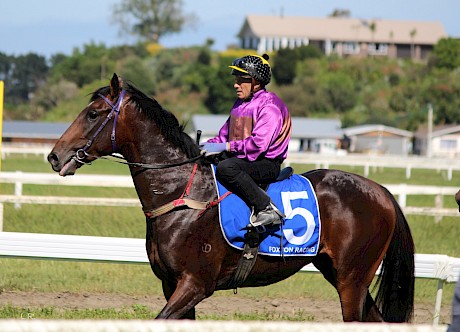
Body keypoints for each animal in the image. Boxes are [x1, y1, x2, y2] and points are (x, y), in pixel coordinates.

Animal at [47, 74, 416, 322]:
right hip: (343, 275)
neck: (182, 195)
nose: (54, 156)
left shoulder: (196, 284)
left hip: (351, 280)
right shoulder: (172, 284)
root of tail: (382, 192)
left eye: (93, 114)